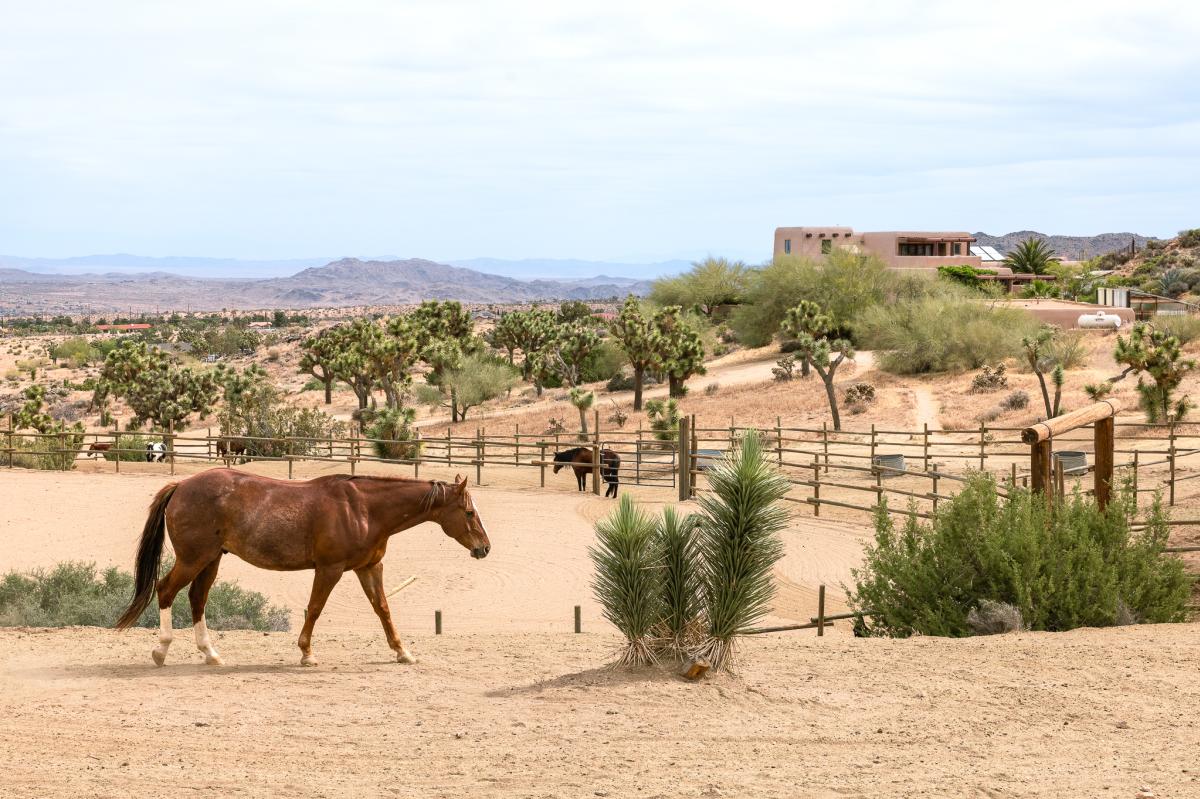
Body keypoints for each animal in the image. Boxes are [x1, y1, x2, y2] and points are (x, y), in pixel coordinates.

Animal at [115, 470, 491, 667]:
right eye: (470, 513)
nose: (485, 548)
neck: (363, 509)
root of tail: (180, 485)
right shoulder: (330, 569)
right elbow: (315, 608)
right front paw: (306, 652)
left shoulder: (370, 568)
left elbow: (383, 609)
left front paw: (402, 651)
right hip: (194, 559)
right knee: (166, 591)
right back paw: (161, 650)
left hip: (211, 560)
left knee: (196, 599)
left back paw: (211, 654)